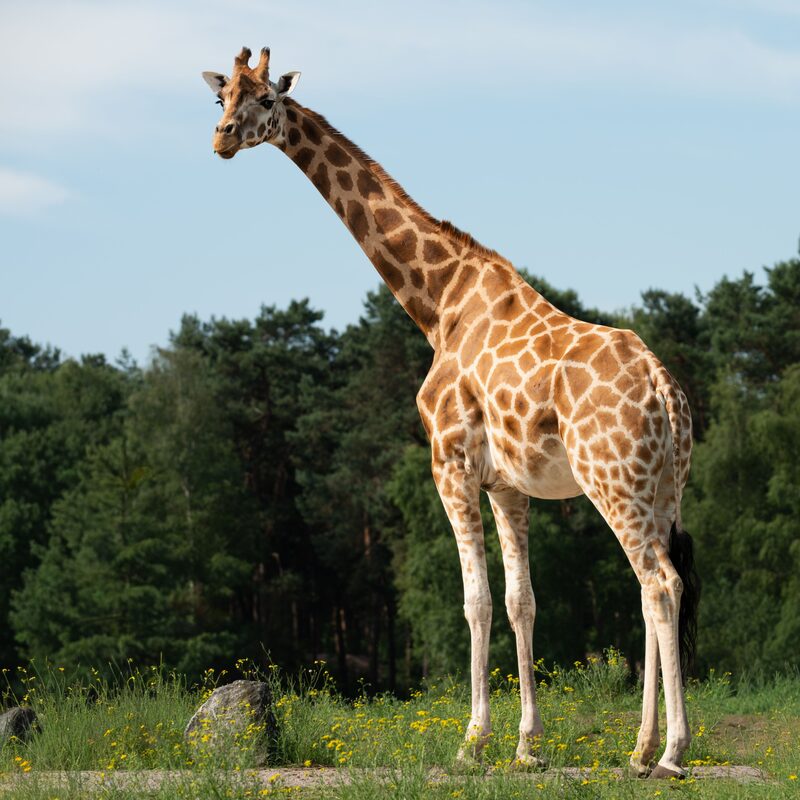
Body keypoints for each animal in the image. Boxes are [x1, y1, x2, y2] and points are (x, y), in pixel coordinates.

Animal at [201, 47, 699, 779]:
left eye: (267, 99)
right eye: (222, 98)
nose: (223, 140)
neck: (437, 302)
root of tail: (664, 389)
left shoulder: (451, 465)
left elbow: (475, 601)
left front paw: (473, 741)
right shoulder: (507, 485)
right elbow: (522, 601)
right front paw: (527, 746)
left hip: (613, 479)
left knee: (659, 582)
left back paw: (668, 753)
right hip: (665, 486)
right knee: (654, 588)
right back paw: (639, 749)